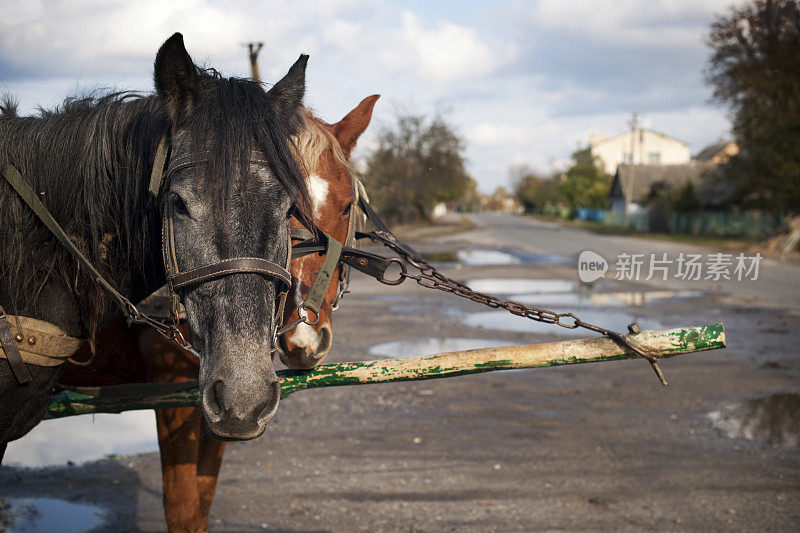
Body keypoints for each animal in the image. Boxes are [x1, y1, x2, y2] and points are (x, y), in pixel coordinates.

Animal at [59, 95, 378, 532]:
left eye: (346, 206)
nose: (303, 336)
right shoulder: (173, 391)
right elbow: (183, 507)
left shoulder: (226, 403)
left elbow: (202, 499)